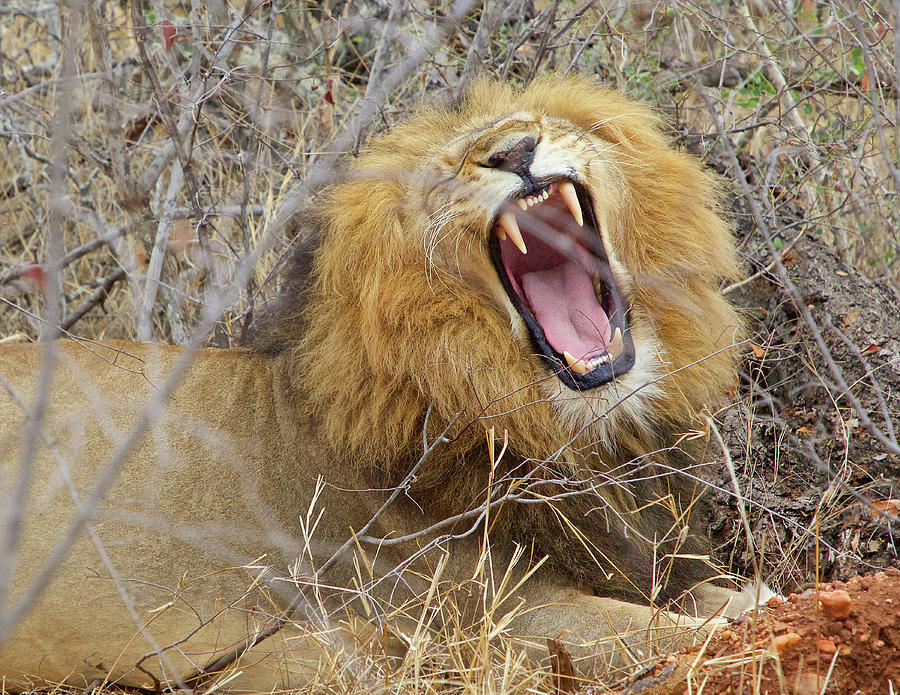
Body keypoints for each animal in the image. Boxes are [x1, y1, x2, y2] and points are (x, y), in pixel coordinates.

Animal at [0, 76, 748, 692]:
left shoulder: (650, 561)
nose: (515, 151)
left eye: (535, 123)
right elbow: (669, 635)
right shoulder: (501, 616)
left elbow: (737, 598)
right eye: (448, 171)